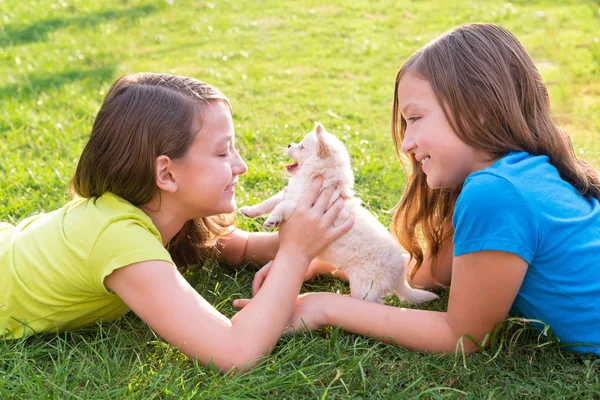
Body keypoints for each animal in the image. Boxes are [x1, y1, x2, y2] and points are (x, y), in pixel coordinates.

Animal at [237, 122, 438, 304]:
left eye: (301, 146)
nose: (288, 145)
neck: (318, 178)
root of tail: (400, 275)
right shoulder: (289, 193)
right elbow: (270, 202)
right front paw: (249, 210)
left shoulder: (298, 204)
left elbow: (281, 207)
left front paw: (272, 220)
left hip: (365, 287)